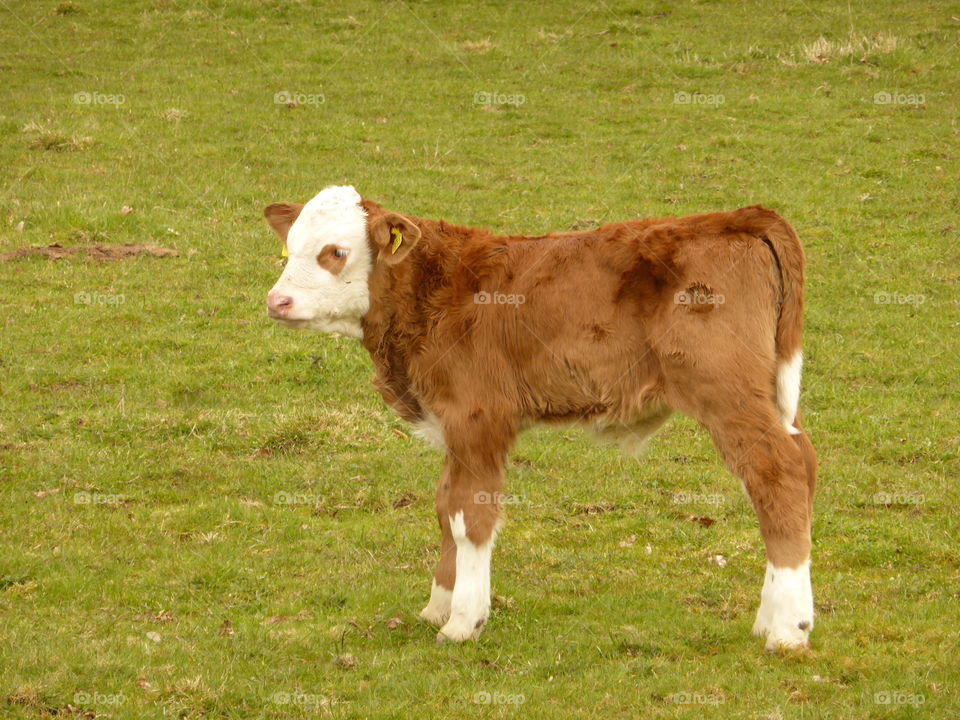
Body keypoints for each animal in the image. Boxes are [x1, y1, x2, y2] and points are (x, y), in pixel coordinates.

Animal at [264, 185, 817, 651]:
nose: (276, 300)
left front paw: (464, 621)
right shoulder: (454, 426)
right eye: (289, 248)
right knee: (799, 463)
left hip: (726, 393)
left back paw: (787, 631)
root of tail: (736, 217)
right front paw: (437, 606)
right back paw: (772, 617)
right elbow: (444, 507)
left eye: (335, 252)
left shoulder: (477, 418)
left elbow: (469, 515)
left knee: (778, 474)